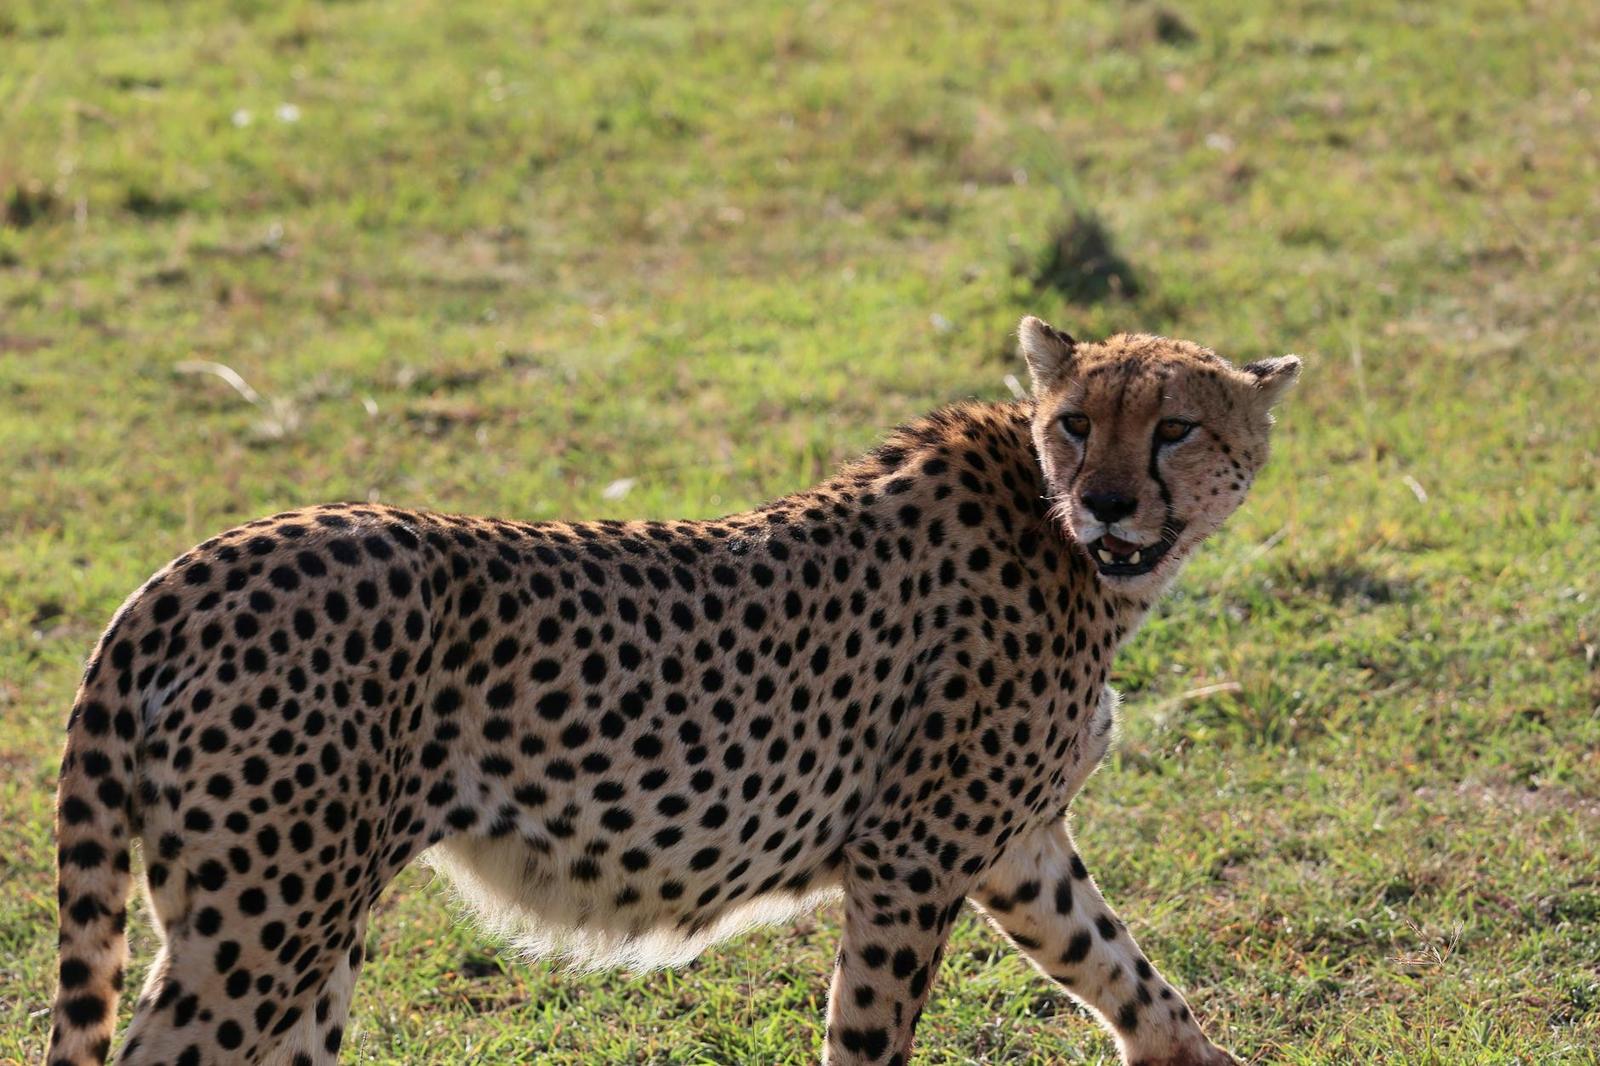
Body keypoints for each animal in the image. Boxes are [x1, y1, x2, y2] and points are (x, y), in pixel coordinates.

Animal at [45, 316, 1301, 1066]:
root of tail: (201, 561)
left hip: (299, 923)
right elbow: (871, 1030)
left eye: (1175, 426)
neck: (1066, 547)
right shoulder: (911, 854)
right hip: (267, 920)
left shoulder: (1015, 846)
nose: (1107, 503)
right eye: (1077, 422)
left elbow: (1126, 970)